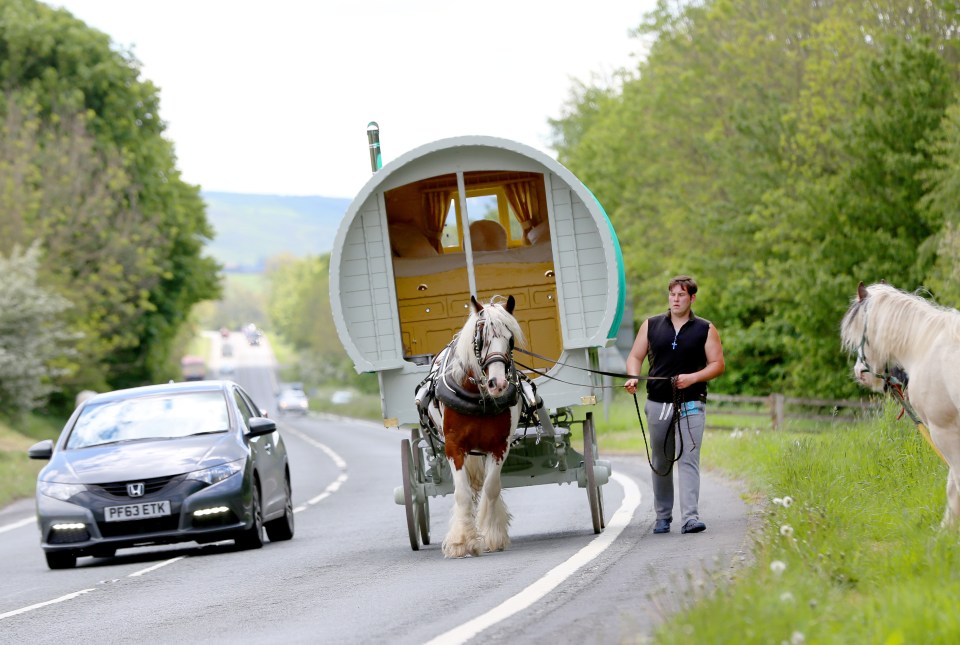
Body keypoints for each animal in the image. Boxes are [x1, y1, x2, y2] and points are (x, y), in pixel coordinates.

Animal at [434, 294, 524, 556]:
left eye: (510, 340)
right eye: (481, 338)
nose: (498, 383)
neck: (478, 397)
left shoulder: (499, 446)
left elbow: (491, 487)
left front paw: (492, 534)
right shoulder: (454, 447)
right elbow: (462, 493)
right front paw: (461, 540)